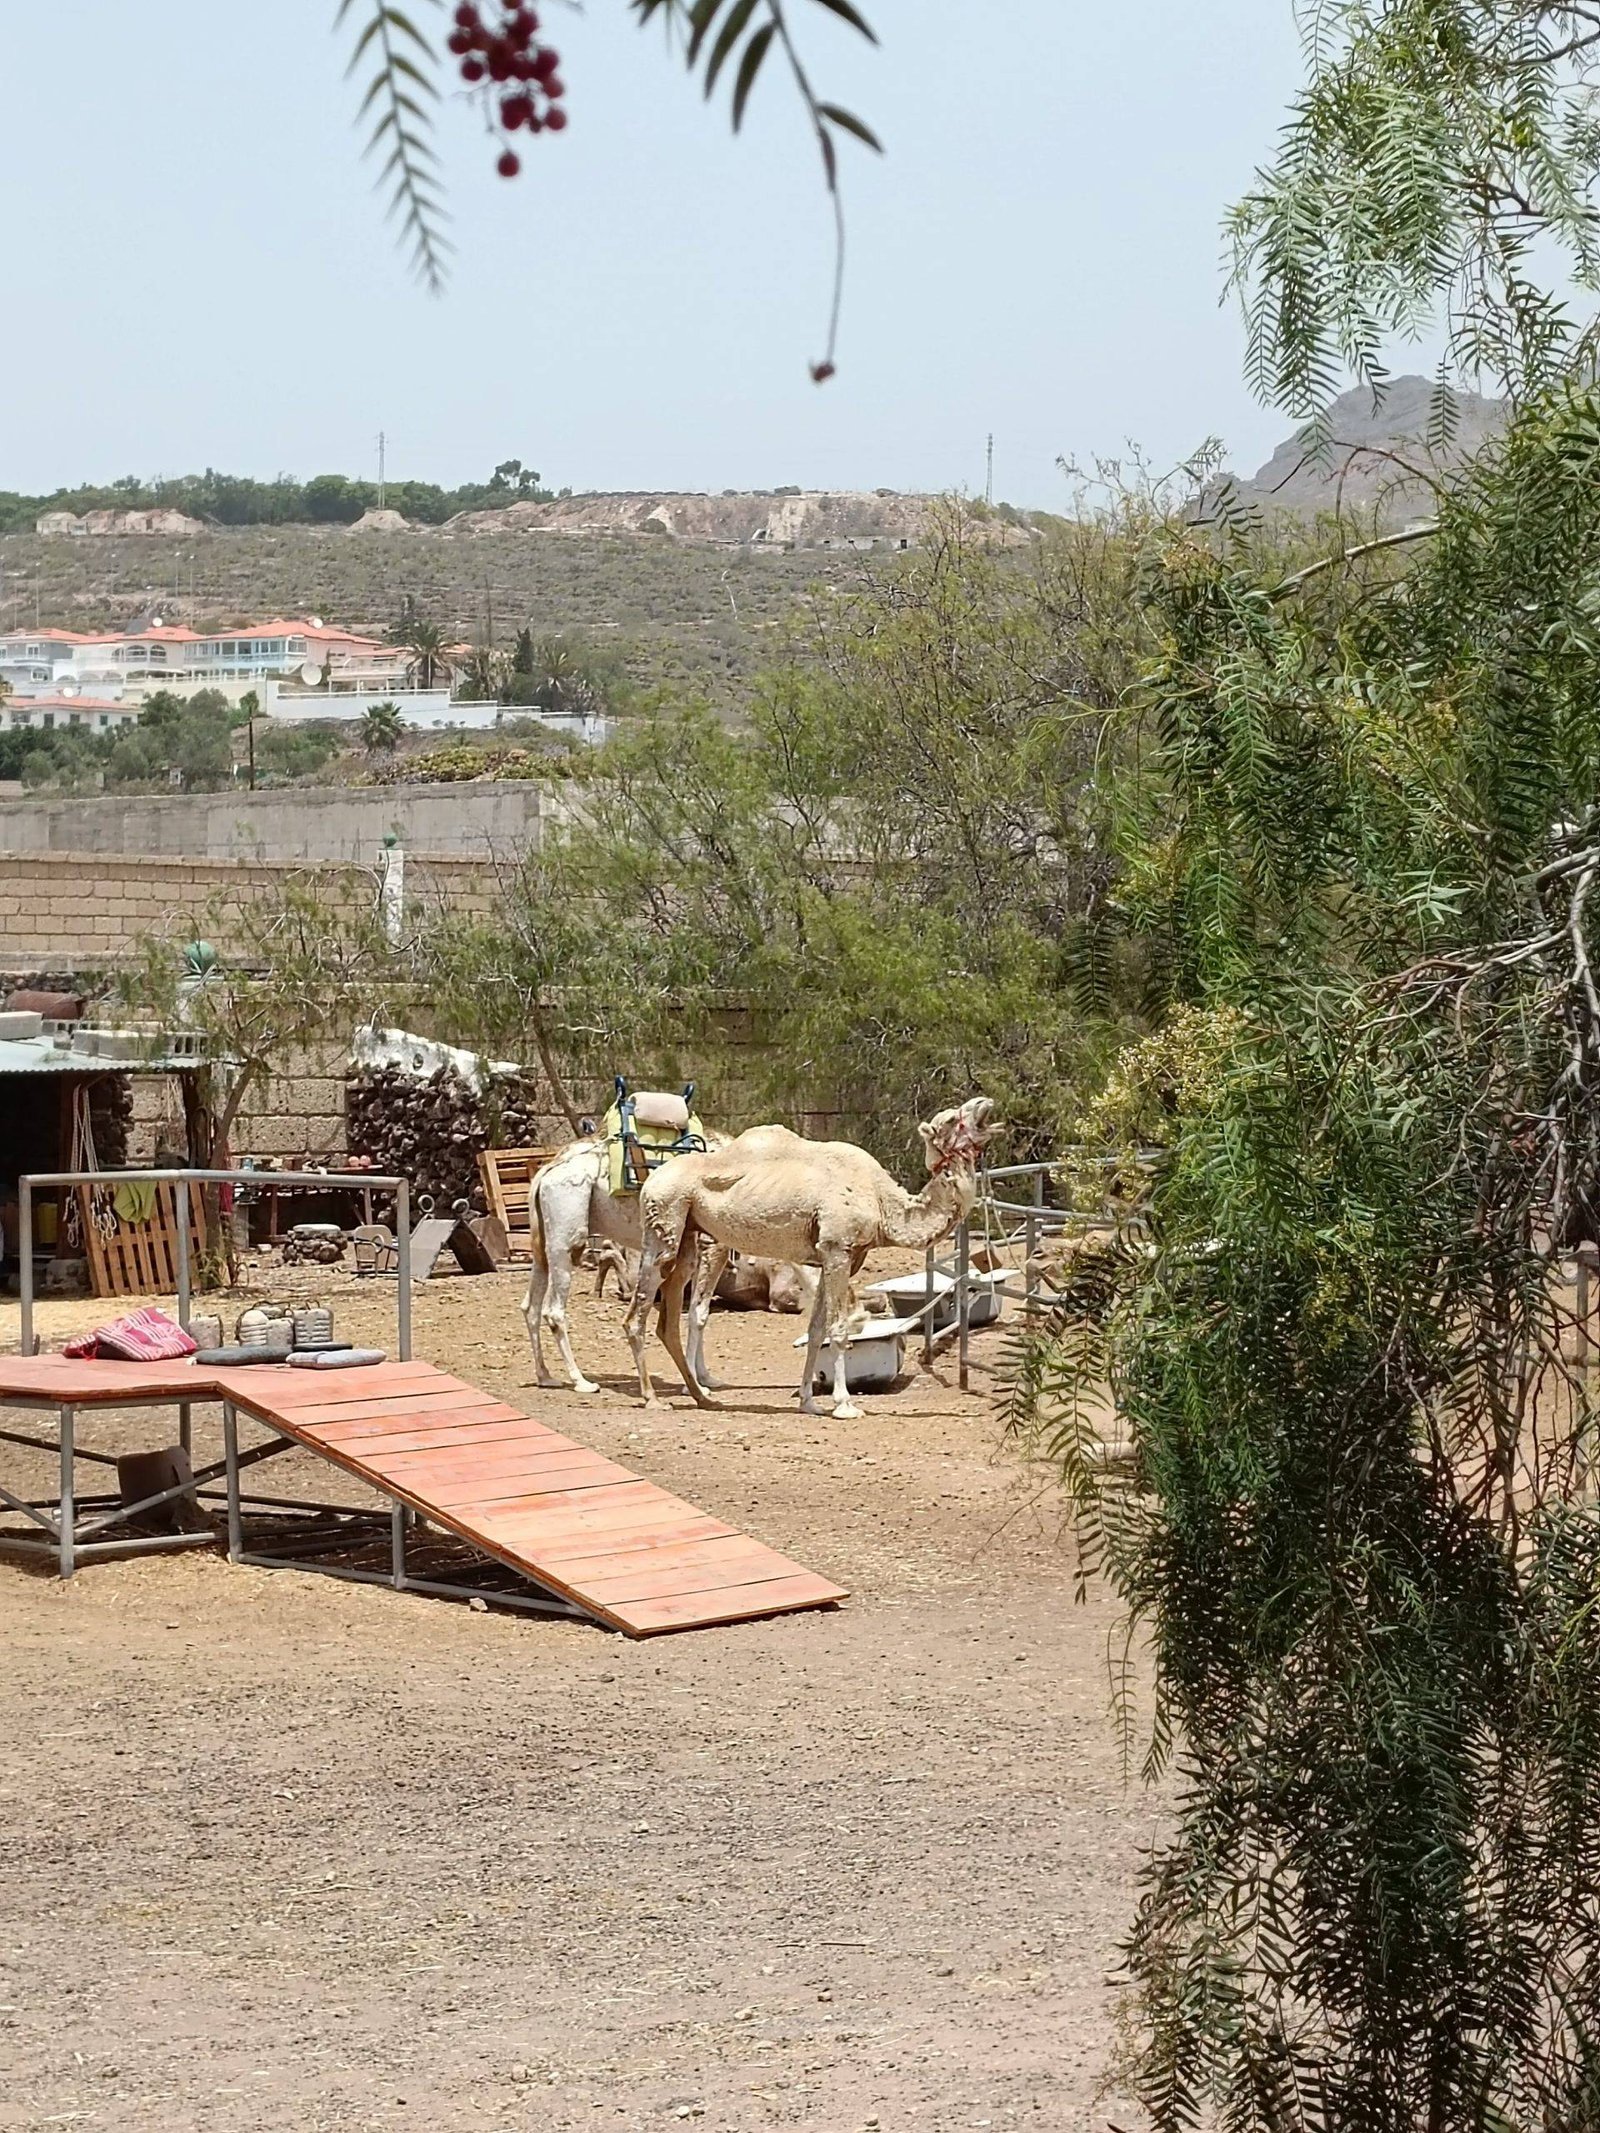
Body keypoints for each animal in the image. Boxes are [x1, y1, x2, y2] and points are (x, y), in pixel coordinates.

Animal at [624, 1096, 999, 1421]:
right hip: (664, 1226)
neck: (882, 1204)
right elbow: (839, 1329)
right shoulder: (837, 1250)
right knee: (639, 1313)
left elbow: (816, 1329)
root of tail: (651, 1178)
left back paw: (700, 1395)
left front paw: (809, 1401)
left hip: (687, 1234)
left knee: (669, 1315)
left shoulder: (832, 1256)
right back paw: (654, 1397)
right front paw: (844, 1404)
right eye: (950, 1120)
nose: (984, 1102)